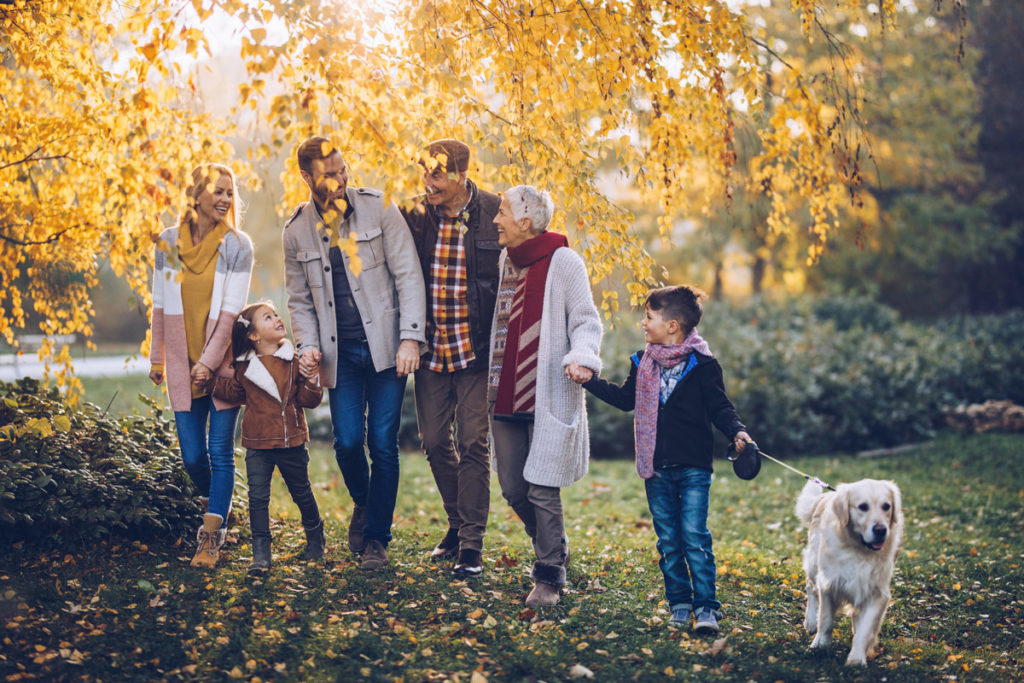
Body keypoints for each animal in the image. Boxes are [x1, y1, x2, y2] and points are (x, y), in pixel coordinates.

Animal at [790, 479, 905, 663]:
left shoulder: (877, 593)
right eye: (863, 506)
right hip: (815, 564)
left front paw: (857, 658)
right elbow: (825, 621)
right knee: (810, 588)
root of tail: (825, 496)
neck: (859, 550)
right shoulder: (829, 583)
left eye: (886, 506)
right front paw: (819, 646)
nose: (881, 530)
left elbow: (865, 629)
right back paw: (810, 621)